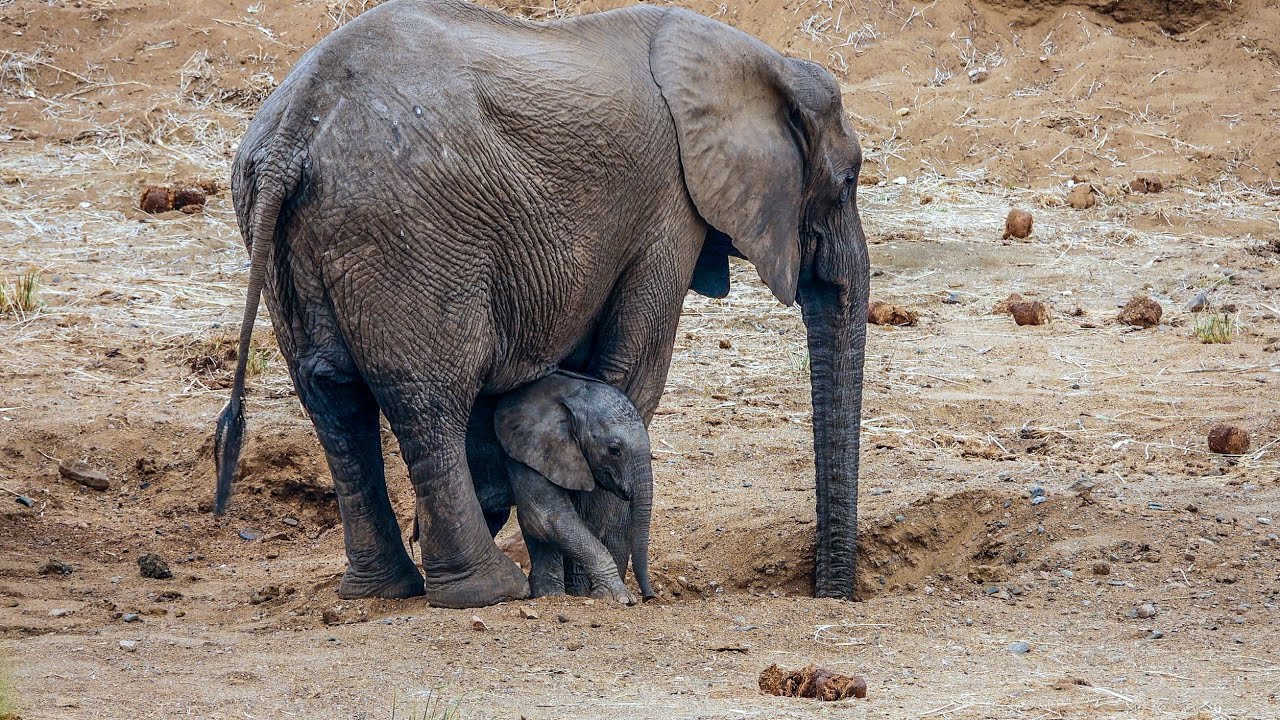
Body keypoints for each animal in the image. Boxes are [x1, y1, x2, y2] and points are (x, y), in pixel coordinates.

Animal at [492, 371, 654, 605]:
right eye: (614, 450)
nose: (649, 597)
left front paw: (551, 594)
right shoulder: (525, 445)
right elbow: (546, 518)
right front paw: (618, 596)